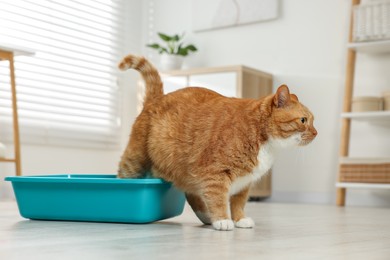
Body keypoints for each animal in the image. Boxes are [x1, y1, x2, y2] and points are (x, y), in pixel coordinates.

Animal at [116, 53, 316, 231]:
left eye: (313, 121)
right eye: (303, 120)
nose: (316, 133)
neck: (263, 138)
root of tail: (157, 98)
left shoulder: (245, 182)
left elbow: (238, 202)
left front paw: (239, 219)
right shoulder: (215, 173)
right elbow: (218, 198)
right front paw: (222, 220)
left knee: (191, 193)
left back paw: (205, 216)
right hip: (134, 161)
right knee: (124, 177)